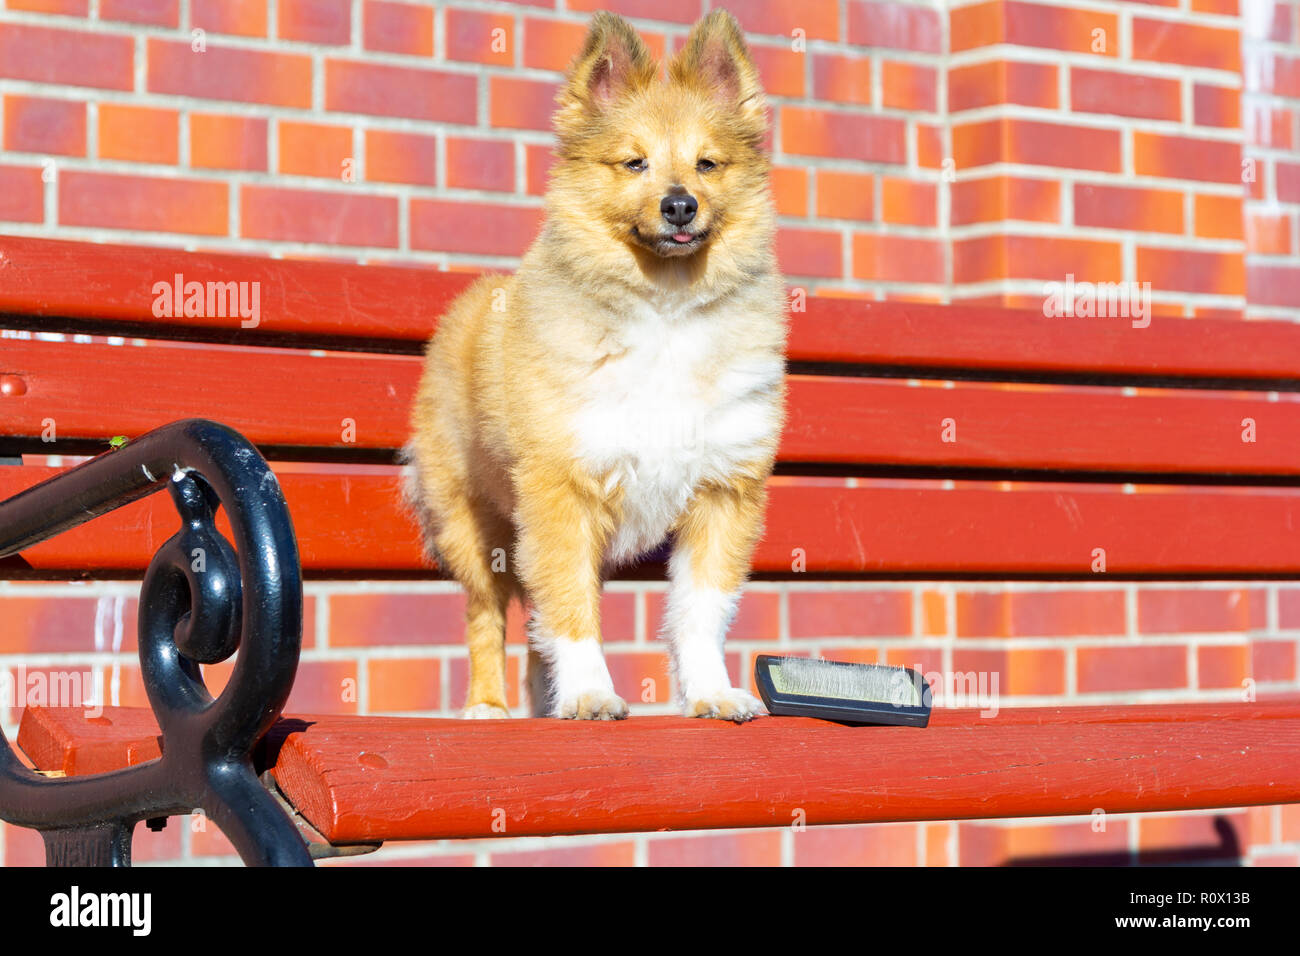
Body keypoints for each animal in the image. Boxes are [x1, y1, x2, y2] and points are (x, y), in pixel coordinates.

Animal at [405, 7, 785, 723]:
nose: (679, 204)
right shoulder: (561, 491)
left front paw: (712, 693)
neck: (666, 306)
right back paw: (489, 707)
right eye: (634, 163)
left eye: (708, 164)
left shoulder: (725, 492)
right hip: (473, 525)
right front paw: (588, 693)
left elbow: (700, 612)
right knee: (487, 615)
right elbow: (569, 607)